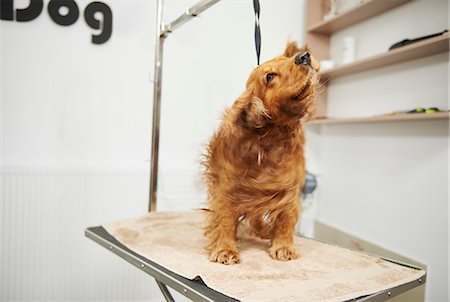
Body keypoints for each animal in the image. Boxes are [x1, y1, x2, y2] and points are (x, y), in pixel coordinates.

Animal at [204, 41, 320, 264]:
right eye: (270, 76)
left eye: (286, 59)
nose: (304, 56)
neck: (269, 140)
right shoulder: (227, 189)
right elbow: (225, 220)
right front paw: (225, 249)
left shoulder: (289, 190)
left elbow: (285, 220)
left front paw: (283, 246)